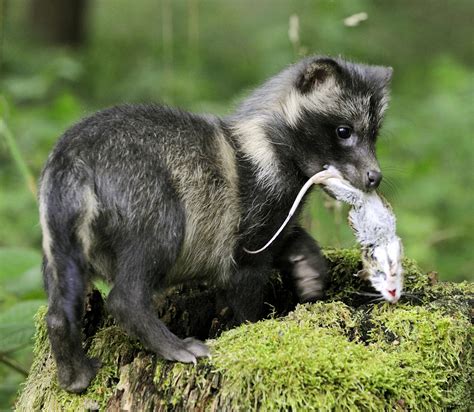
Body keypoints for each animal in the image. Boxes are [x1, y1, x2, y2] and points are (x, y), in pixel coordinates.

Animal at [39, 55, 390, 392]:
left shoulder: (273, 215)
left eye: (374, 135)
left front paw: (307, 265)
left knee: (61, 299)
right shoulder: (250, 211)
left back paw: (73, 372)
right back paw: (173, 345)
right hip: (148, 198)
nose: (374, 177)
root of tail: (75, 156)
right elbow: (247, 277)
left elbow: (284, 237)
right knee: (129, 289)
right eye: (343, 131)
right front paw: (248, 328)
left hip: (60, 231)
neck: (264, 141)